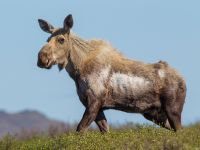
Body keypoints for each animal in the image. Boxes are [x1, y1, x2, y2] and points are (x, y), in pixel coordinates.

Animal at [37, 14, 186, 132]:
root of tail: (183, 79)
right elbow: (104, 131)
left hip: (172, 109)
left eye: (61, 39)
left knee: (180, 130)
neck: (77, 70)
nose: (42, 59)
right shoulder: (95, 106)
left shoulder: (95, 101)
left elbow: (80, 129)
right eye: (47, 39)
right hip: (155, 114)